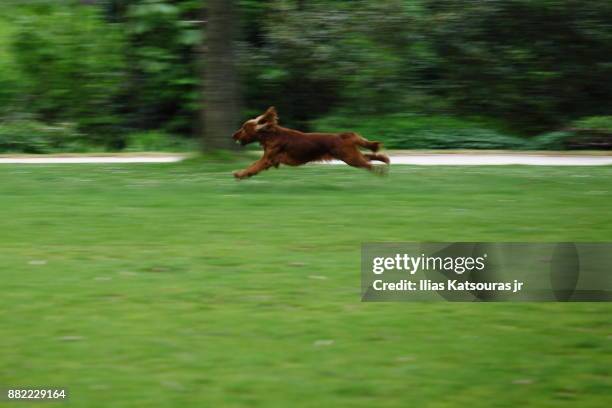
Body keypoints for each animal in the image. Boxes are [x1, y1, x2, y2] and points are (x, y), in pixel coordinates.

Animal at [232, 107, 390, 178]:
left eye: (244, 128)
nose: (233, 135)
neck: (271, 135)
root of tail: (343, 136)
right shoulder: (270, 160)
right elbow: (254, 166)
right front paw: (242, 174)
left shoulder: (268, 159)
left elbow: (254, 166)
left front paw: (240, 174)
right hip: (349, 155)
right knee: (368, 157)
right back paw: (384, 159)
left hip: (350, 157)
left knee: (367, 164)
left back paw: (380, 170)